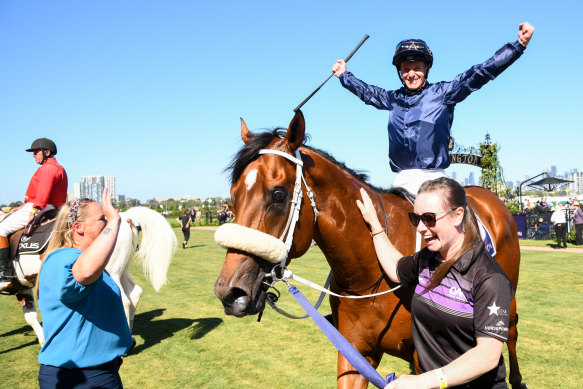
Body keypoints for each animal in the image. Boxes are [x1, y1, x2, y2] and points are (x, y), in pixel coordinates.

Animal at [1, 206, 177, 342]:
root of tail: (125, 216)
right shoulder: (22, 288)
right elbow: (30, 317)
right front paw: (43, 340)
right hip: (122, 269)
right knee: (134, 293)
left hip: (111, 271)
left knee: (124, 300)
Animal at [216, 110, 528, 388]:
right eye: (233, 196)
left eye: (278, 195)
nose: (229, 293)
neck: (369, 276)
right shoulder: (355, 354)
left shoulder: (423, 362)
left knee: (510, 331)